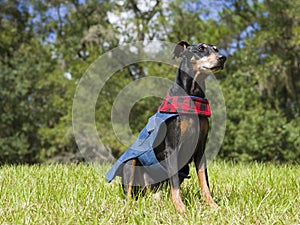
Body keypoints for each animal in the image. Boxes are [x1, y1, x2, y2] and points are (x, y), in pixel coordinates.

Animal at [106, 40, 226, 213]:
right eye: (200, 48)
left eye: (216, 49)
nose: (223, 58)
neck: (192, 96)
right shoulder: (172, 148)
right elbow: (175, 184)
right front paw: (181, 208)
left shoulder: (200, 149)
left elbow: (204, 181)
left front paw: (213, 205)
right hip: (131, 163)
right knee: (129, 194)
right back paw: (131, 207)